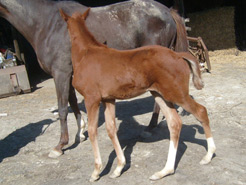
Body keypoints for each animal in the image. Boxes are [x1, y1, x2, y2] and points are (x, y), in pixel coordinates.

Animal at [0, 0, 188, 158]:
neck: (45, 23)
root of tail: (167, 10)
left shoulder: (60, 73)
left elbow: (62, 108)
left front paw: (60, 146)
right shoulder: (69, 74)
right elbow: (73, 102)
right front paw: (80, 132)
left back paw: (150, 127)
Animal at [60, 8, 216, 182]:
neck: (85, 54)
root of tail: (178, 55)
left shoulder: (91, 99)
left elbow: (93, 131)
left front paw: (96, 172)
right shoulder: (109, 99)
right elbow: (111, 129)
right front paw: (118, 168)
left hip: (177, 94)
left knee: (201, 111)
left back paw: (208, 155)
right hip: (160, 95)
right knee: (174, 123)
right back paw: (165, 171)